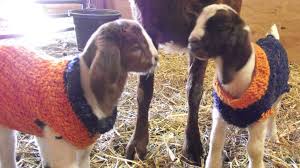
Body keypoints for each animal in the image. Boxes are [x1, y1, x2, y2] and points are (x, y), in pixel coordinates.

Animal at [189, 3, 290, 168]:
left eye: (221, 27)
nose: (191, 42)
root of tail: (272, 38)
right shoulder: (220, 114)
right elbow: (215, 143)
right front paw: (212, 163)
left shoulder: (259, 118)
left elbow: (254, 149)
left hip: (278, 96)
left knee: (273, 116)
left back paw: (273, 136)